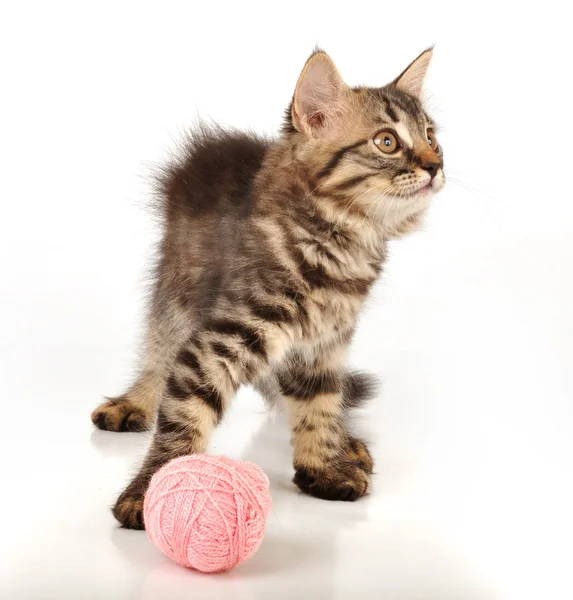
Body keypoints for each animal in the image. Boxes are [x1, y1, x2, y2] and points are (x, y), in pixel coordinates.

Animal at [91, 47, 444, 528]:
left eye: (432, 136)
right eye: (386, 142)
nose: (436, 165)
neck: (339, 242)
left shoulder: (323, 341)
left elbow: (319, 401)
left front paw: (324, 466)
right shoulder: (222, 337)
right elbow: (184, 416)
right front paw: (150, 491)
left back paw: (345, 439)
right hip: (176, 290)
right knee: (158, 354)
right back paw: (136, 401)